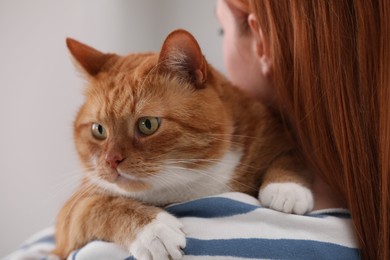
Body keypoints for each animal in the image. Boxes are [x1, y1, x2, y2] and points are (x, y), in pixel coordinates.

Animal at [52, 29, 314, 258]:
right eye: (99, 130)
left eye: (148, 124)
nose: (111, 160)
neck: (189, 184)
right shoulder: (71, 215)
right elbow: (100, 206)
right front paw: (152, 231)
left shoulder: (273, 131)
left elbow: (290, 155)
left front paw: (286, 189)